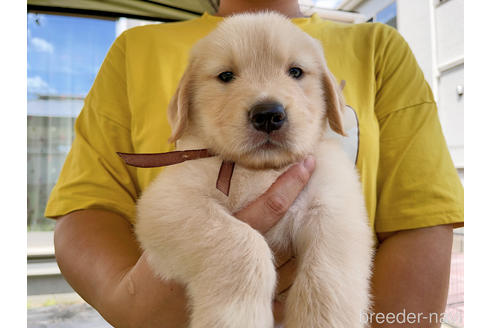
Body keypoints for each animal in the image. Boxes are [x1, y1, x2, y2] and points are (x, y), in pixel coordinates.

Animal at [135, 11, 372, 328]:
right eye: (226, 76)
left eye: (295, 72)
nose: (269, 115)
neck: (262, 170)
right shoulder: (168, 204)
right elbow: (241, 244)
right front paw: (237, 317)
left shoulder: (335, 206)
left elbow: (328, 274)